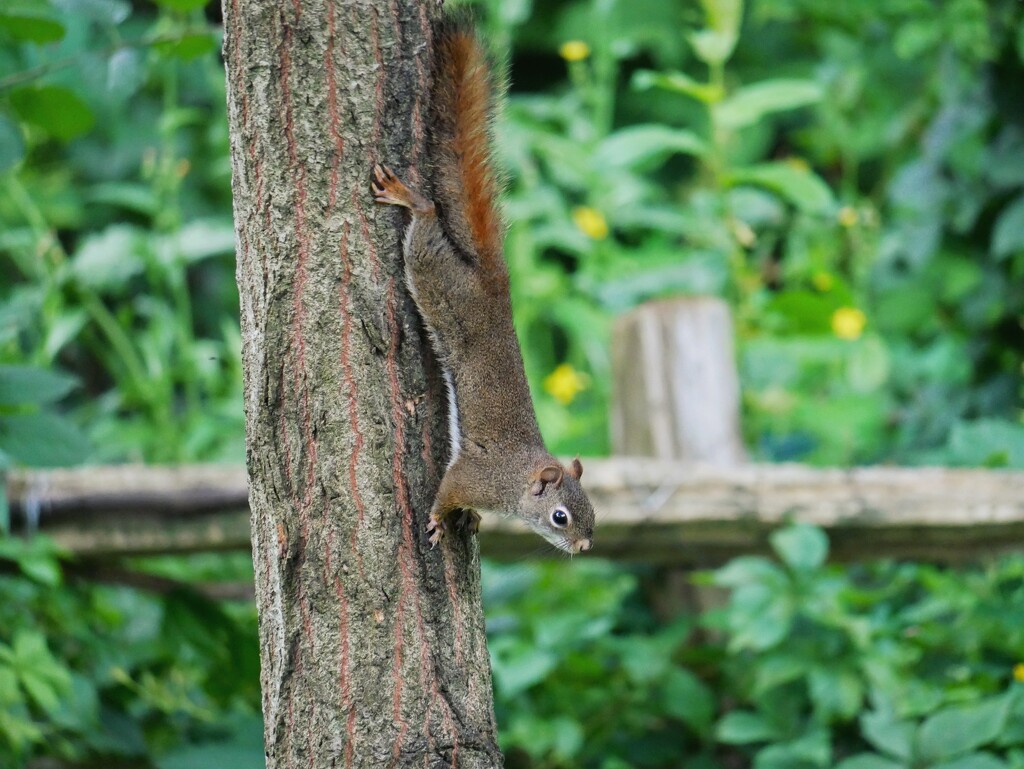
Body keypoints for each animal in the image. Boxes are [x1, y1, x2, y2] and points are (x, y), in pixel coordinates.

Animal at [370, 16, 598, 552]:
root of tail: (494, 281)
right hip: (434, 276)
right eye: (560, 516)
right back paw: (411, 199)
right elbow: (446, 491)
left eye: (592, 511)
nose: (584, 546)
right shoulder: (474, 475)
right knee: (426, 222)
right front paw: (438, 518)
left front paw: (471, 520)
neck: (516, 482)